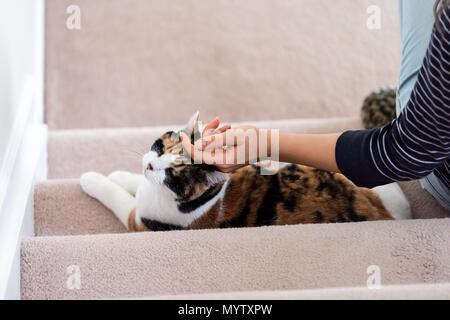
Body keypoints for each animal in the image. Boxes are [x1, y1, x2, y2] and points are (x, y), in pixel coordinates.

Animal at [81, 111, 412, 231]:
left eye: (174, 174)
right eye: (162, 148)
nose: (150, 165)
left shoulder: (141, 221)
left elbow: (120, 198)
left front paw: (92, 178)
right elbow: (133, 181)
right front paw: (122, 174)